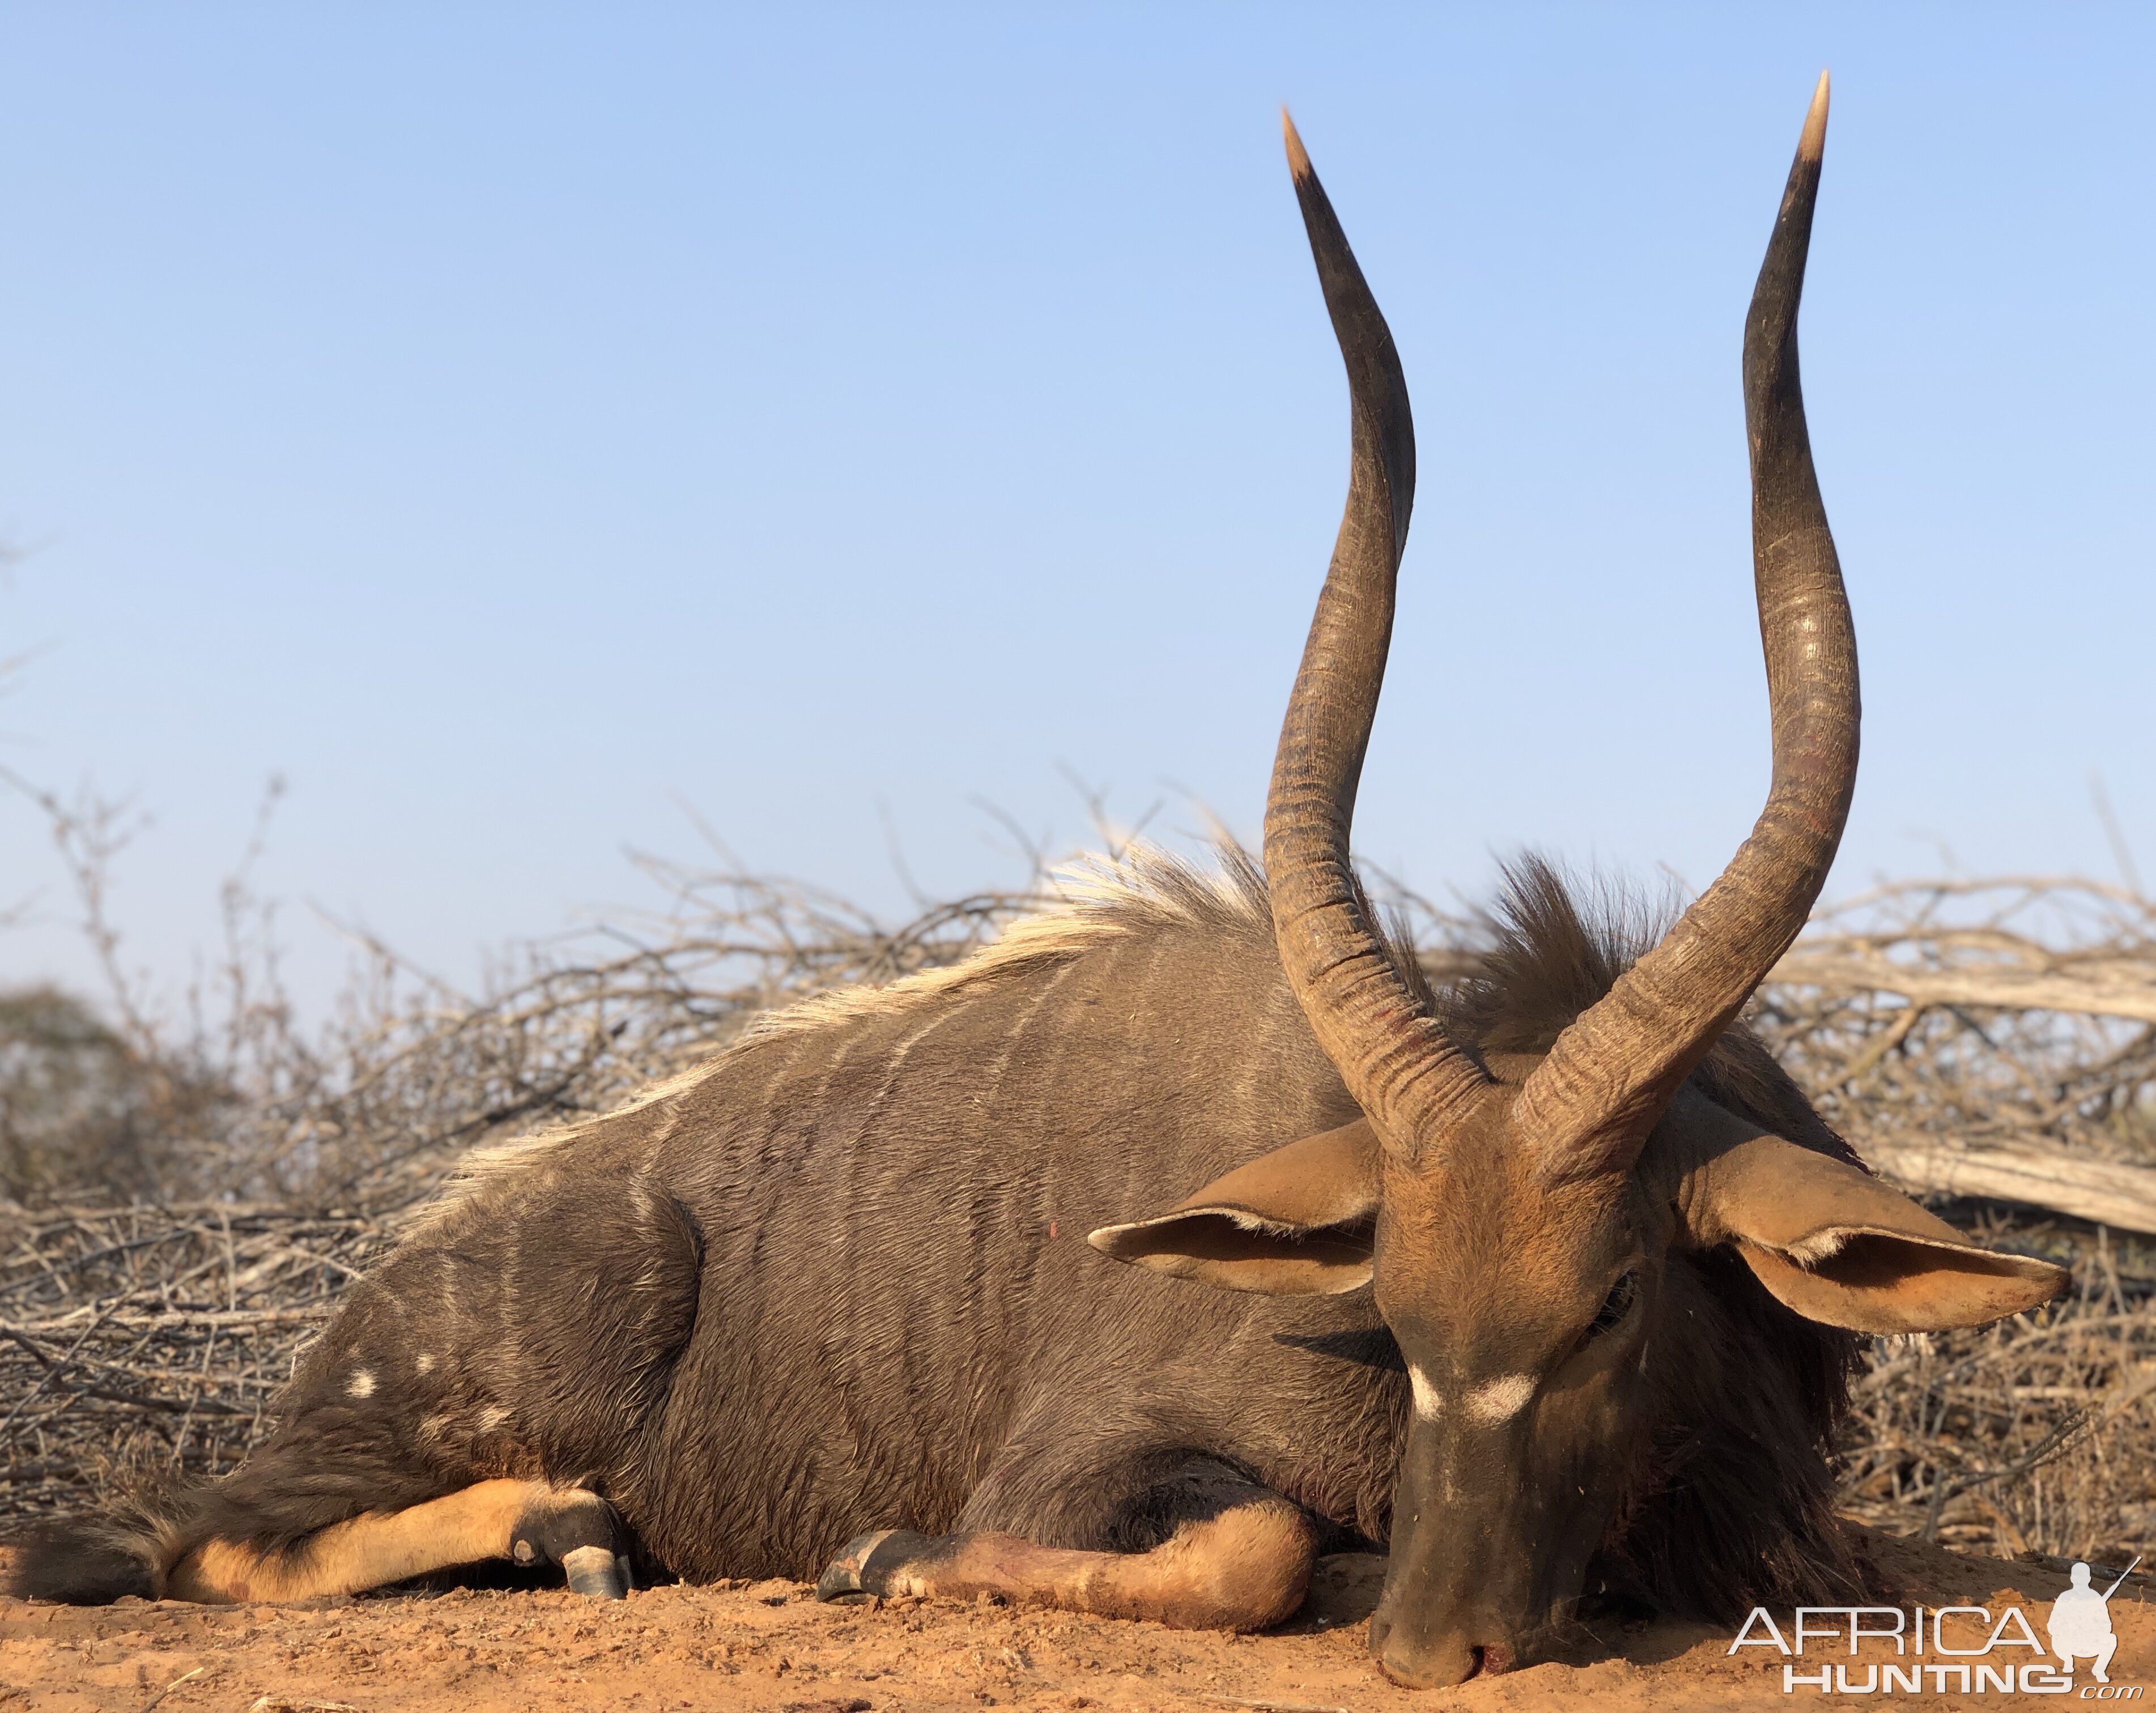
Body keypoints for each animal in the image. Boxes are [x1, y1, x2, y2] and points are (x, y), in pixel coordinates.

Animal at [8, 74, 2061, 1698]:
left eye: (1614, 1301)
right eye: (1391, 1307)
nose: (1438, 1643)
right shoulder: (1083, 1463)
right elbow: (1242, 1549)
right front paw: (878, 1557)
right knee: (180, 1538)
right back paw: (562, 1532)